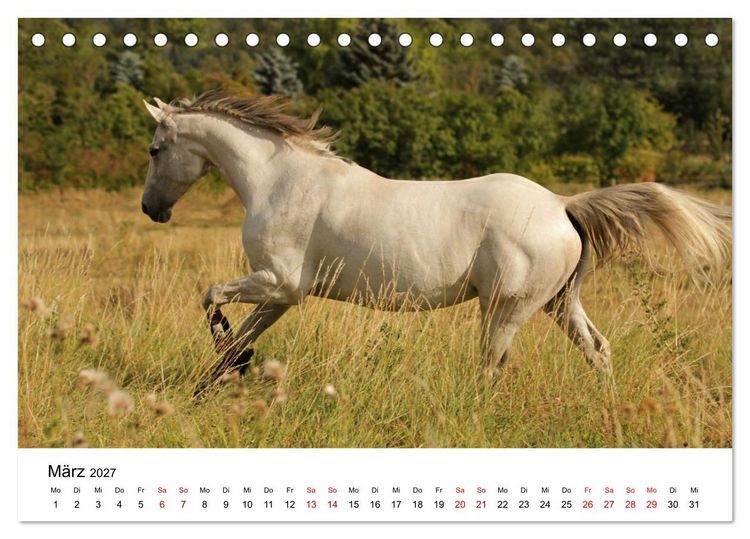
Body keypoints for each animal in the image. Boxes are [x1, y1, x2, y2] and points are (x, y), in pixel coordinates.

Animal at [140, 90, 731, 395]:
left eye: (154, 149)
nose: (152, 209)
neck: (280, 178)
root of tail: (563, 207)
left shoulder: (278, 284)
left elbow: (211, 299)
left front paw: (229, 369)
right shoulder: (280, 296)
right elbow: (240, 334)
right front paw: (221, 377)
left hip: (506, 309)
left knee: (492, 365)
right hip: (560, 303)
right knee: (598, 350)